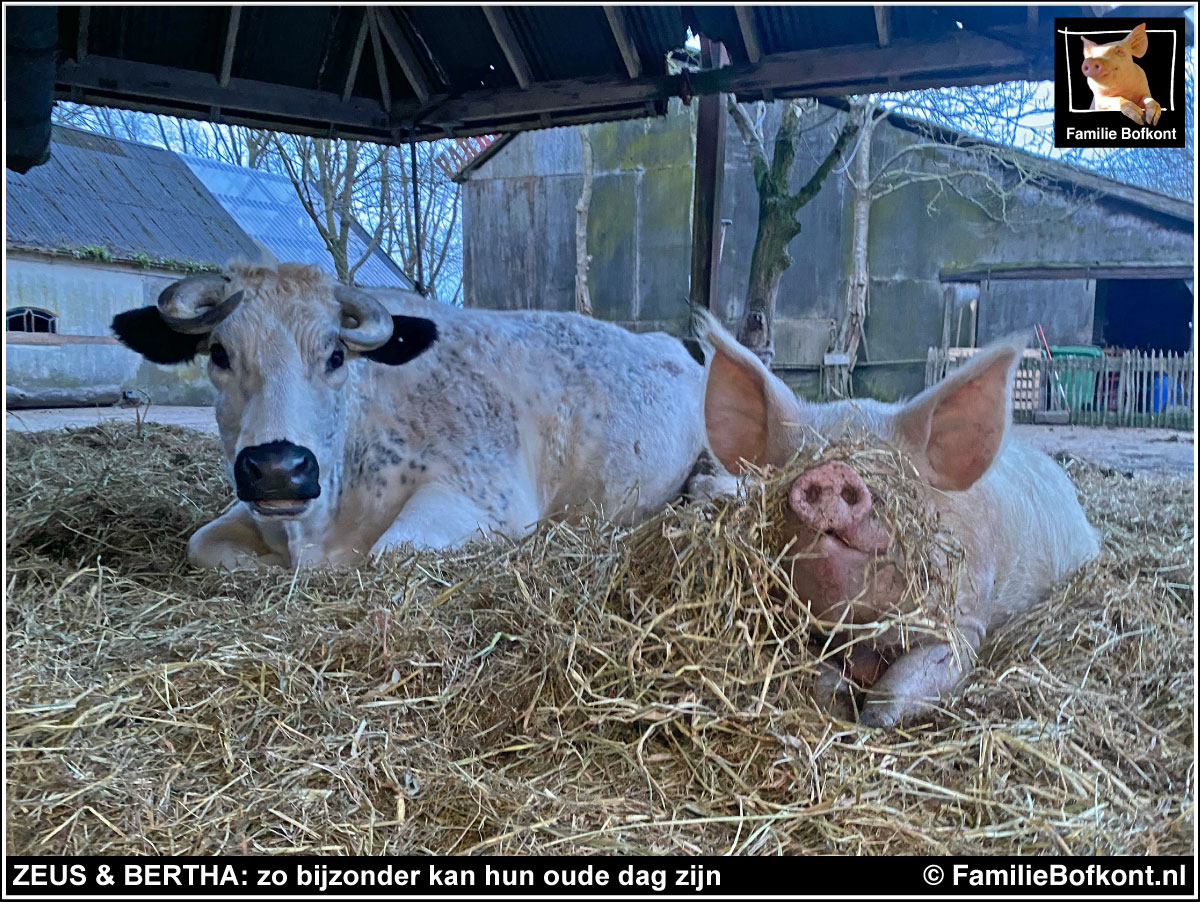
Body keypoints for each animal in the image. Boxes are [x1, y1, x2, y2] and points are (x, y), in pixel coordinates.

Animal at [112, 263, 710, 566]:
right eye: (219, 353)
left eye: (336, 356)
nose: (280, 468)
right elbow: (202, 546)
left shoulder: (490, 501)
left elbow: (390, 553)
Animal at [700, 314, 1099, 729]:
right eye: (795, 462)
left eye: (895, 473)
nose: (831, 472)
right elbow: (809, 665)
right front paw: (840, 702)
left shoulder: (964, 623)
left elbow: (911, 676)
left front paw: (873, 720)